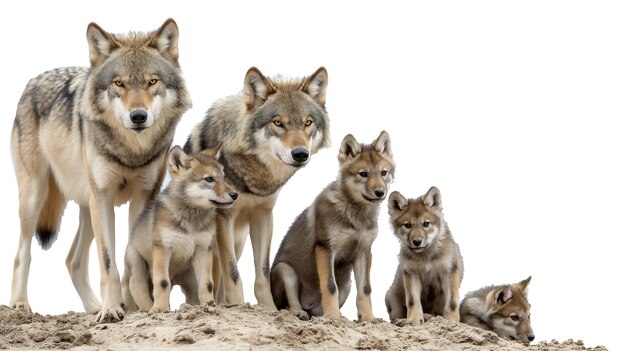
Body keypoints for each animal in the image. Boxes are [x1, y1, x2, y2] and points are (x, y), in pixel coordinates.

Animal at [8, 17, 190, 324]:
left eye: (152, 81)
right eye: (119, 83)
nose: (138, 116)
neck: (130, 152)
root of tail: (34, 80)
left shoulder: (142, 198)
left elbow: (130, 258)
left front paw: (133, 305)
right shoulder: (103, 197)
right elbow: (108, 262)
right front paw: (111, 310)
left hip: (86, 206)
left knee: (72, 260)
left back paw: (92, 305)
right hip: (36, 197)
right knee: (22, 253)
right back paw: (20, 305)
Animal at [184, 66, 332, 308]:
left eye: (308, 122)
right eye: (278, 122)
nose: (301, 154)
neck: (255, 177)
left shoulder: (263, 215)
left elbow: (262, 274)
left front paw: (269, 309)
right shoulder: (224, 218)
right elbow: (233, 274)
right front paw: (236, 306)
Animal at [270, 130, 394, 322]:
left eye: (383, 173)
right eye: (363, 174)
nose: (380, 192)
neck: (356, 216)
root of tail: (309, 307)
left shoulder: (363, 252)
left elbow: (365, 290)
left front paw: (368, 318)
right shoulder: (325, 249)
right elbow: (329, 286)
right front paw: (333, 317)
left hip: (347, 283)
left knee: (318, 311)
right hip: (285, 270)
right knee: (288, 306)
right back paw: (300, 313)